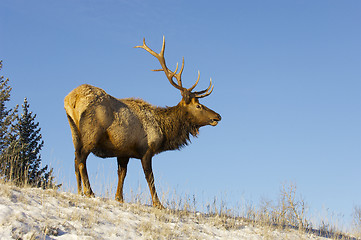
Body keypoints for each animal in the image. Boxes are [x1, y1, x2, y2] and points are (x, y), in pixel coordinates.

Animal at [64, 37, 221, 208]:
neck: (163, 131)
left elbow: (122, 174)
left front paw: (119, 198)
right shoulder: (146, 150)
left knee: (75, 158)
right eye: (198, 106)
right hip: (92, 131)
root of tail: (72, 98)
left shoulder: (123, 151)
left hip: (74, 131)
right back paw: (89, 191)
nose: (217, 116)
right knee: (81, 159)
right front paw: (158, 204)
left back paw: (79, 191)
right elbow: (150, 177)